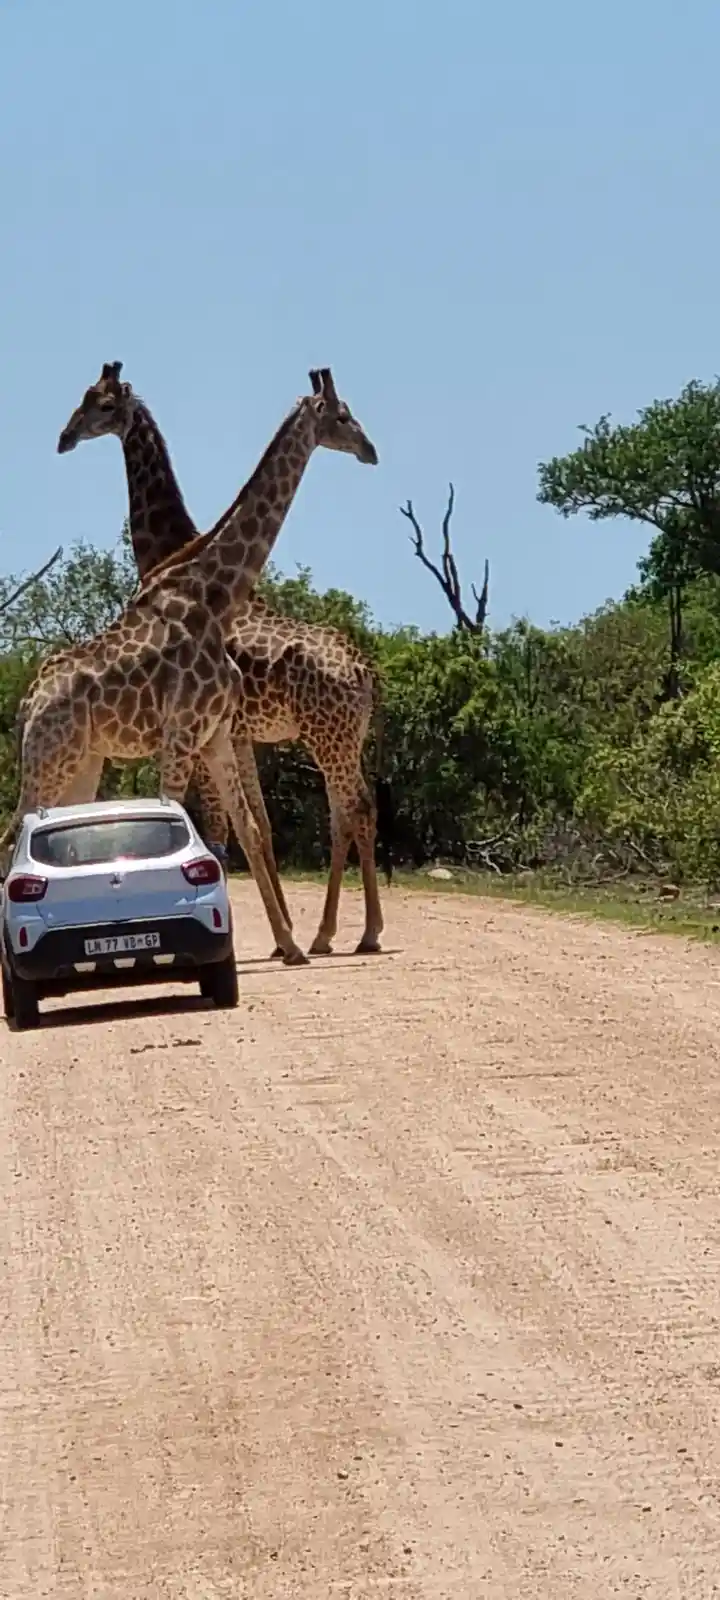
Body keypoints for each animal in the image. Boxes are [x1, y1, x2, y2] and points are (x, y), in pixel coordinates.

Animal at [2, 368, 379, 966]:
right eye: (344, 415)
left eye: (99, 404)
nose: (370, 450)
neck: (211, 588)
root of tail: (29, 701)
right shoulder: (190, 736)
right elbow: (212, 831)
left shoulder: (214, 734)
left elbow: (241, 830)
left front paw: (286, 943)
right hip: (57, 759)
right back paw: (346, 933)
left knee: (352, 809)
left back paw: (346, 934)